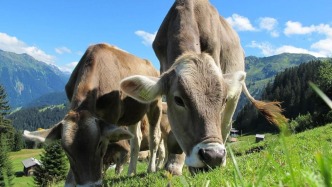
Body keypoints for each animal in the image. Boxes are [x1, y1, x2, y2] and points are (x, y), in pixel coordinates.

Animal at [22, 43, 162, 186]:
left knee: (154, 137)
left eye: (99, 143)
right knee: (136, 139)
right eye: (66, 150)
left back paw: (151, 168)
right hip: (133, 114)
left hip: (155, 104)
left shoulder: (111, 117)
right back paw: (131, 172)